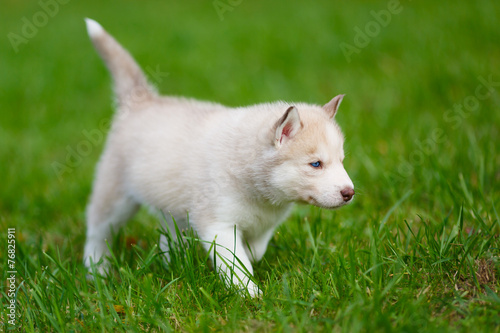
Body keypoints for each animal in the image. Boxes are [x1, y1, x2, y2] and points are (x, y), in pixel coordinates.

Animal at [84, 18, 354, 296]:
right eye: (316, 164)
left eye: (341, 161)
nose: (349, 193)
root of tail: (141, 100)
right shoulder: (218, 226)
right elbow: (236, 263)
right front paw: (250, 293)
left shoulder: (265, 225)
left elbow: (255, 251)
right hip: (114, 198)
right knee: (97, 233)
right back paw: (97, 271)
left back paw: (172, 262)